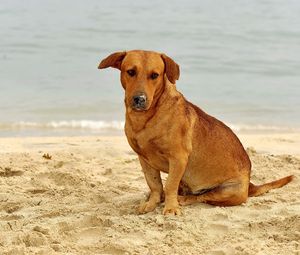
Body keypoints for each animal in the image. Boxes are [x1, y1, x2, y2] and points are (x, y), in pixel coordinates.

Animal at [98, 49, 292, 215]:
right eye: (130, 72)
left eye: (154, 75)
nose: (139, 99)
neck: (147, 118)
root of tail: (250, 185)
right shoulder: (144, 159)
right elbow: (155, 185)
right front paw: (152, 203)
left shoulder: (178, 158)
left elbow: (169, 185)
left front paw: (171, 208)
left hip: (227, 190)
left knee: (201, 197)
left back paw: (182, 199)